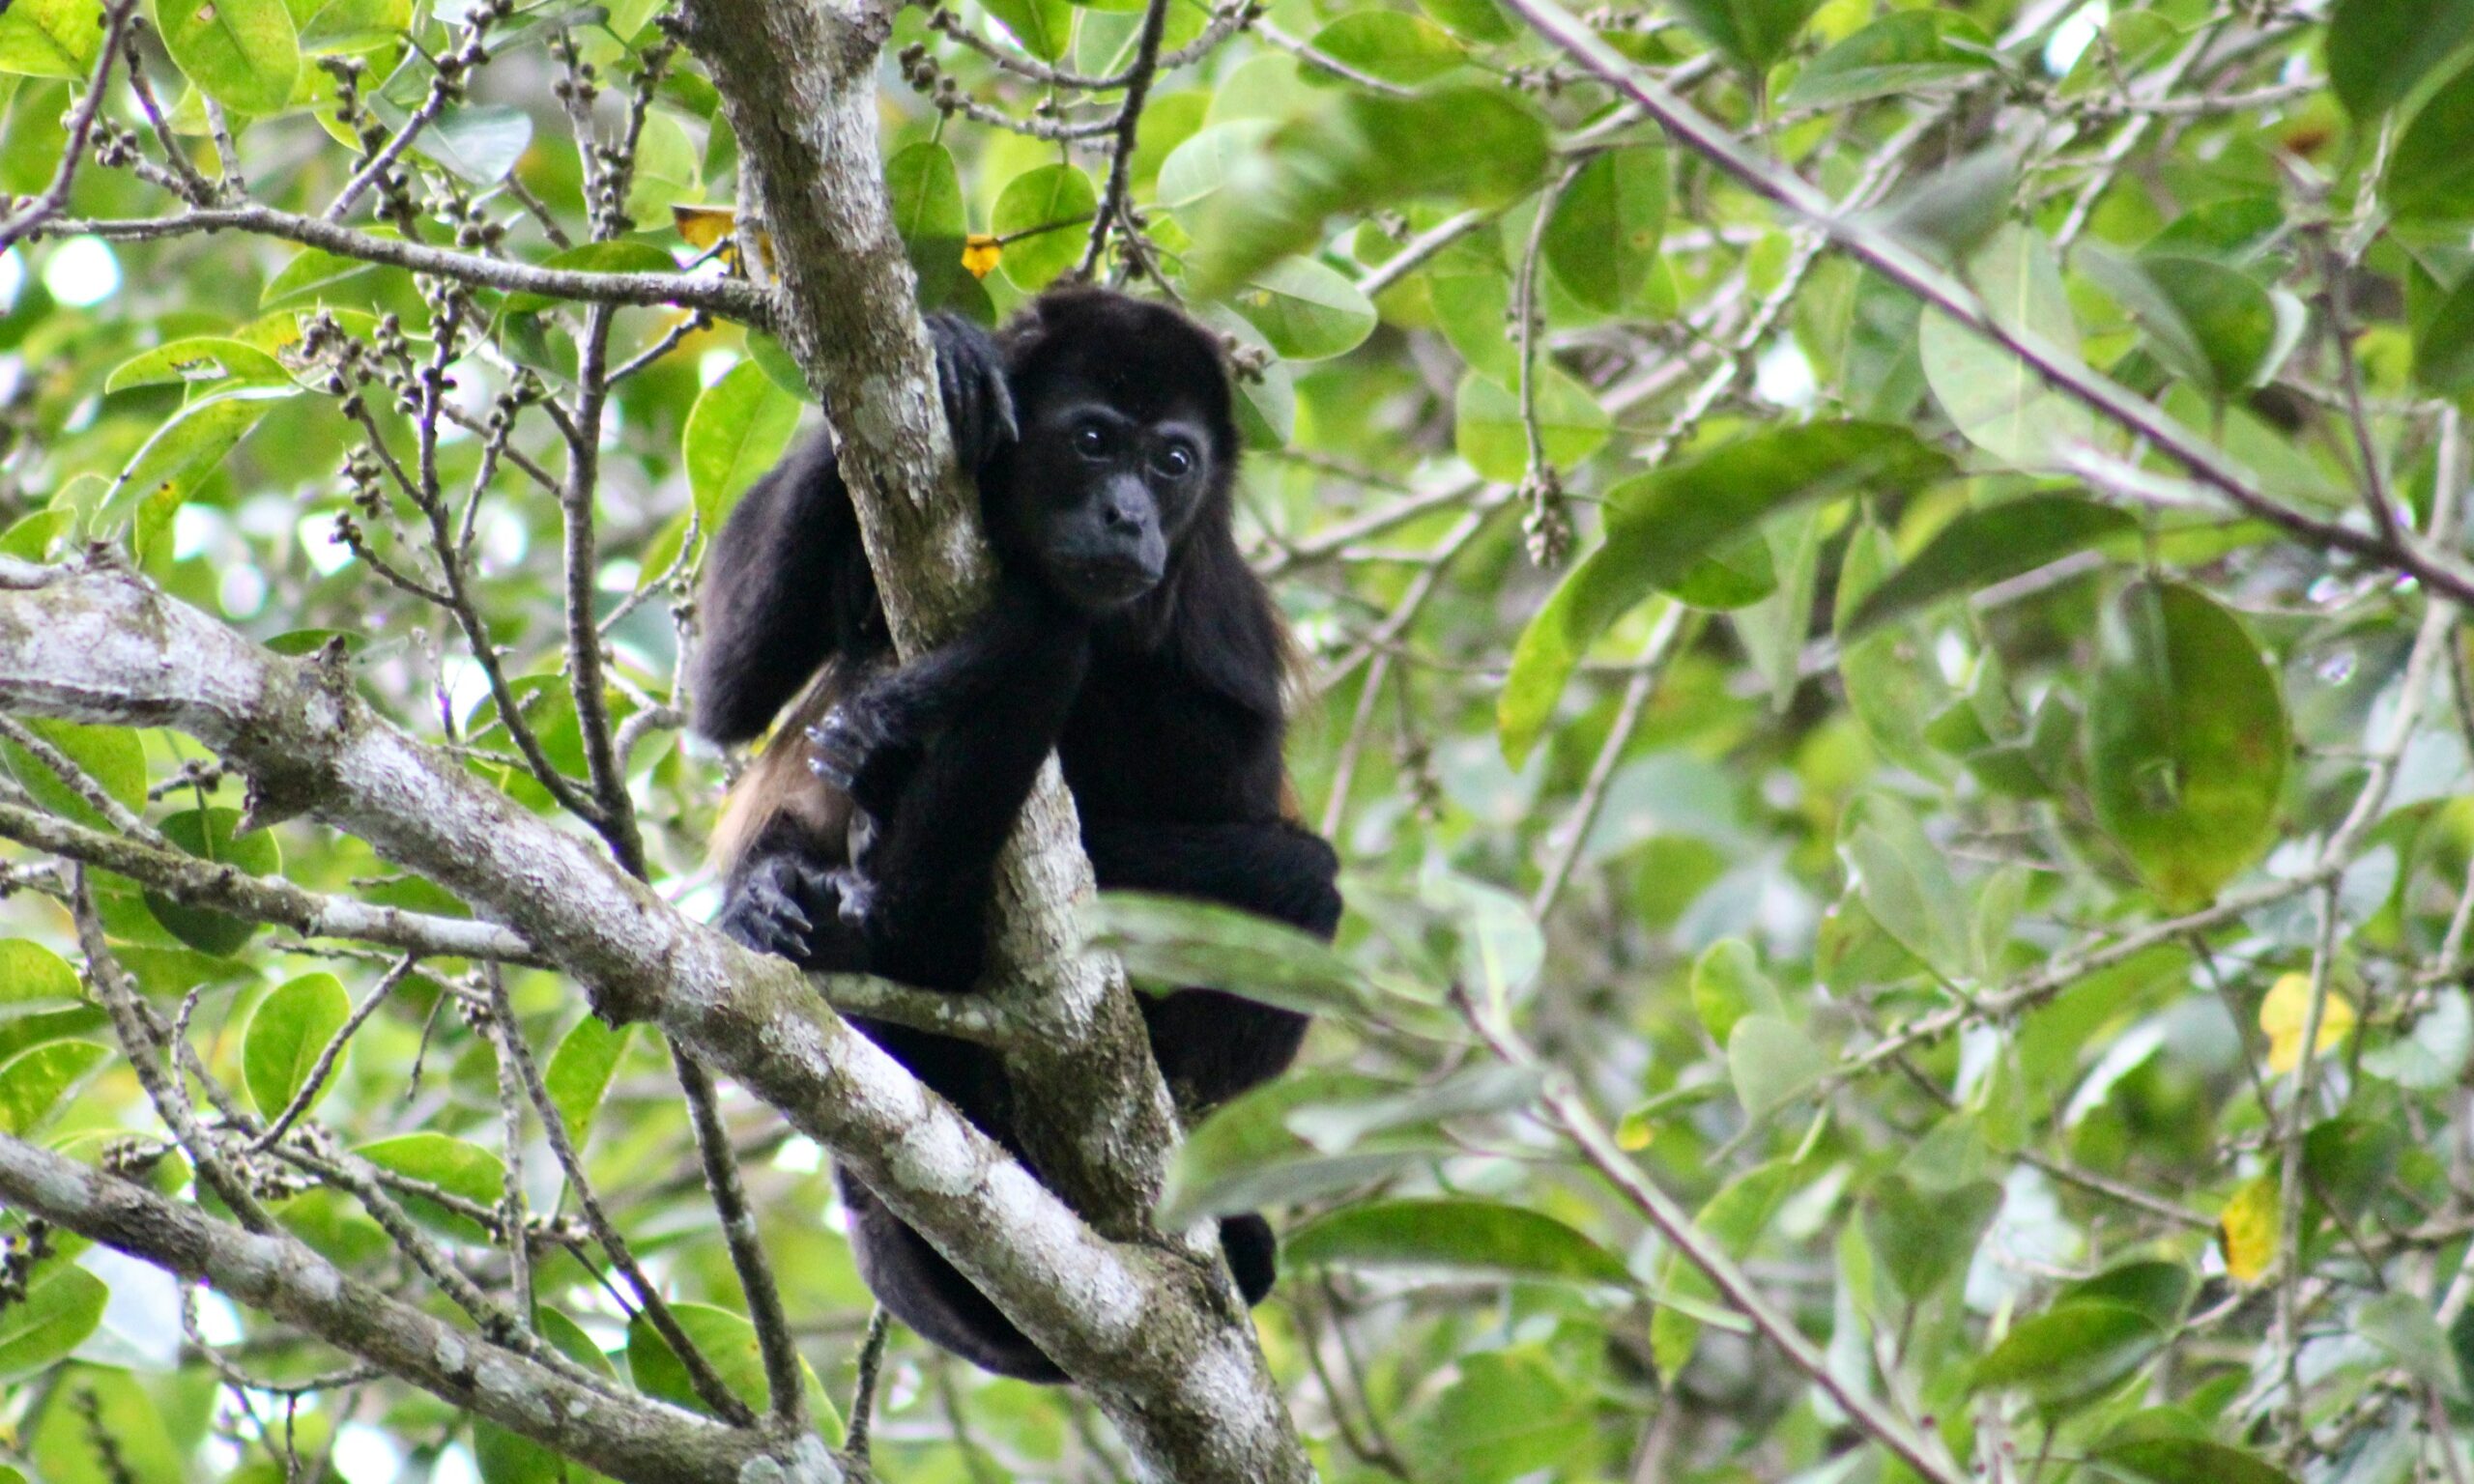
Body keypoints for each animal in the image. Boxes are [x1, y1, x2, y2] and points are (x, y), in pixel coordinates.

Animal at [687, 286, 1345, 1375]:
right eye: (1092, 440)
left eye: (1173, 462)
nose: (1128, 516)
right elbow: (727, 687)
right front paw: (952, 343)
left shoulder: (1218, 610)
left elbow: (1227, 784)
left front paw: (918, 713)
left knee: (1306, 883)